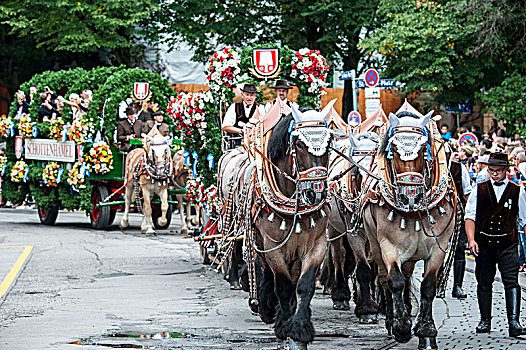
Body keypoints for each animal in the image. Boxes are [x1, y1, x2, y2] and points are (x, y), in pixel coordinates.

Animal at [364, 110, 458, 350]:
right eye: (394, 151)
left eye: (424, 149)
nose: (410, 197)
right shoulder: (388, 246)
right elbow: (395, 281)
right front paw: (402, 327)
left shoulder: (438, 248)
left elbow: (428, 286)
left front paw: (426, 331)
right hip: (375, 244)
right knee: (384, 278)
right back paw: (391, 319)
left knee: (407, 277)